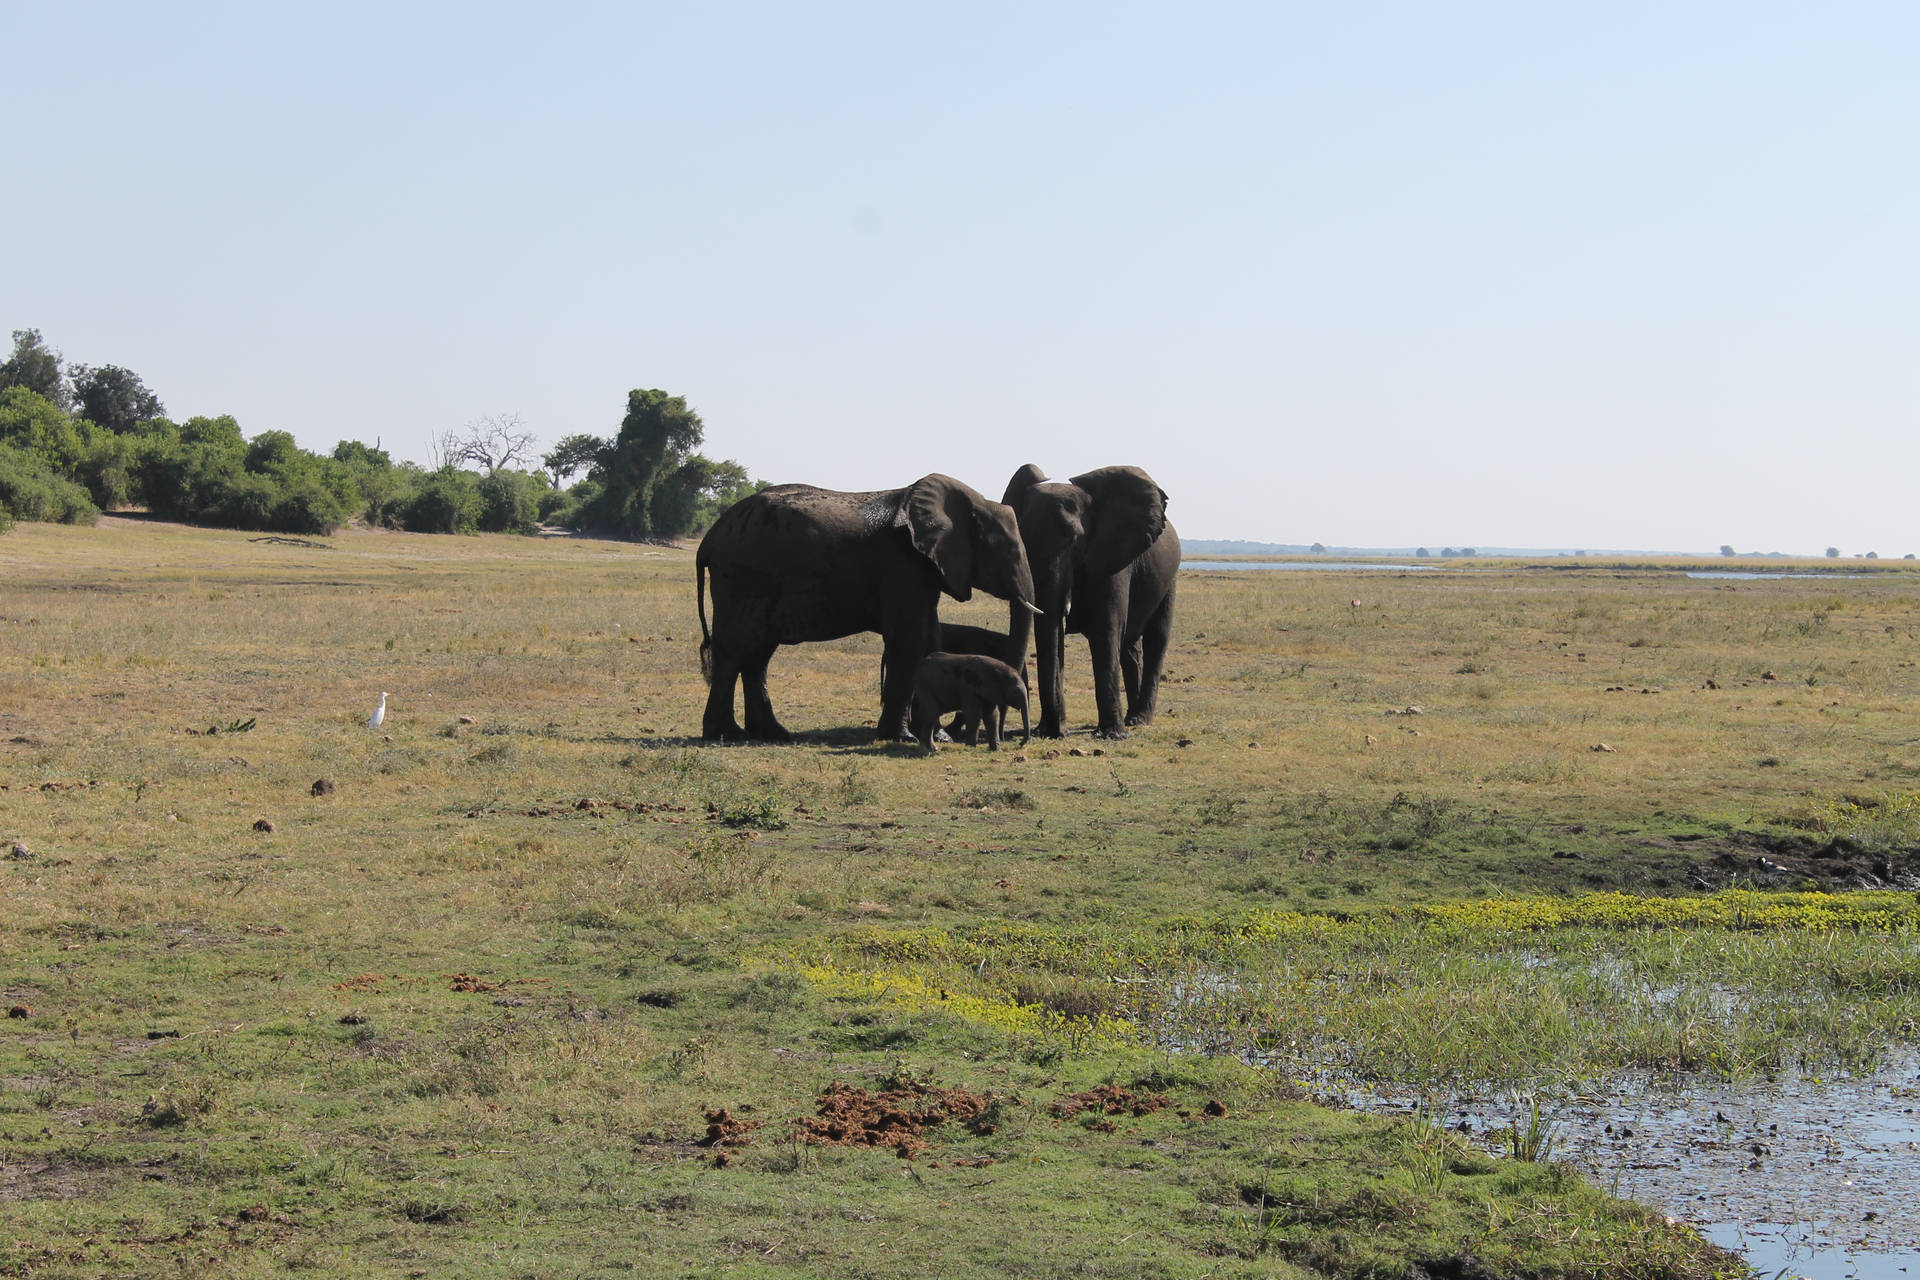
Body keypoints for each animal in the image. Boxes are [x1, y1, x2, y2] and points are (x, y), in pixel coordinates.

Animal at [696, 475, 1037, 742]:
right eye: (1007, 550)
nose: (1004, 738)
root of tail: (710, 538)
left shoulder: (924, 570)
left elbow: (931, 639)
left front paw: (937, 736)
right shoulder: (902, 564)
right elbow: (910, 641)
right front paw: (903, 738)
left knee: (757, 656)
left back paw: (772, 734)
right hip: (742, 578)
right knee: (736, 650)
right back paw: (726, 734)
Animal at [1001, 464, 1178, 739]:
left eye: (1074, 540)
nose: (1057, 733)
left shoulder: (1111, 558)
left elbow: (1105, 632)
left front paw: (1112, 736)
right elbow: (1053, 630)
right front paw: (1050, 732)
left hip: (1170, 579)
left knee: (1156, 639)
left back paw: (1139, 721)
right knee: (1129, 647)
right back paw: (1129, 719)